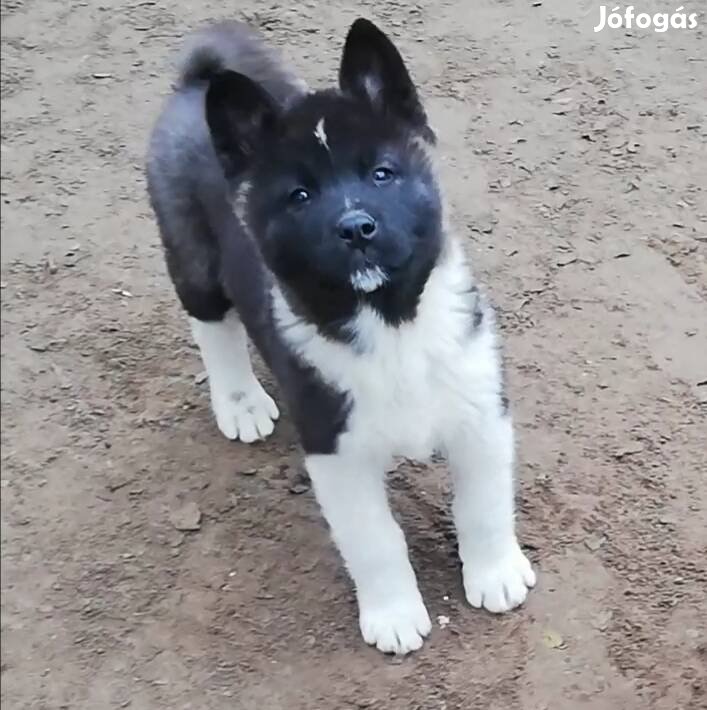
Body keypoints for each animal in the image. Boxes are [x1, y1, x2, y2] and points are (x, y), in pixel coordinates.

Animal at [148, 16, 536, 656]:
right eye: (300, 195)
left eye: (382, 173)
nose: (355, 227)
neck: (390, 325)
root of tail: (195, 84)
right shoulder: (337, 450)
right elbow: (375, 540)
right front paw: (394, 615)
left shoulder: (480, 410)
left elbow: (484, 504)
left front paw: (495, 573)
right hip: (190, 252)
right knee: (211, 324)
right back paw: (240, 403)